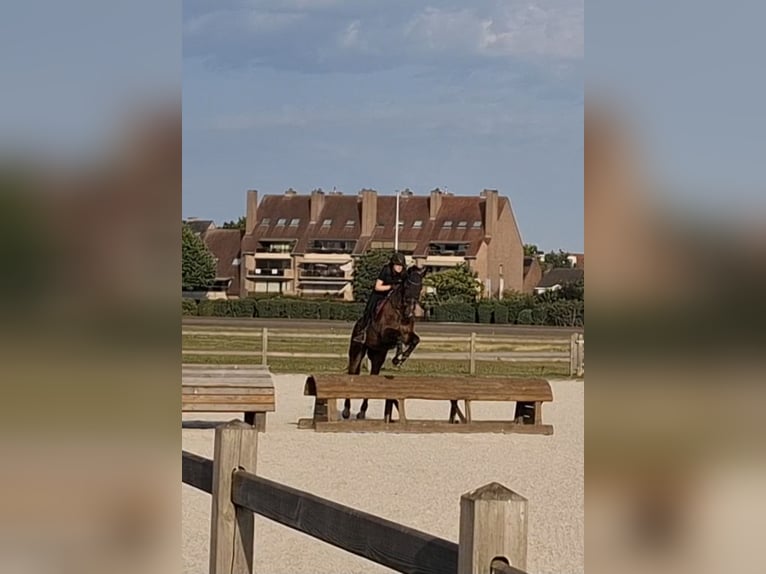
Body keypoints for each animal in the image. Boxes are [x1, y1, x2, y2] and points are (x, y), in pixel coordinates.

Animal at [343, 264, 426, 422]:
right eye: (407, 285)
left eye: (420, 286)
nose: (410, 312)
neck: (400, 311)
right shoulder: (385, 334)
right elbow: (397, 337)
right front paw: (397, 358)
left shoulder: (408, 335)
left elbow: (415, 340)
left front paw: (402, 358)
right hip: (357, 351)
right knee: (352, 373)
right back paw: (346, 411)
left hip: (378, 355)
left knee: (373, 376)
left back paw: (362, 412)